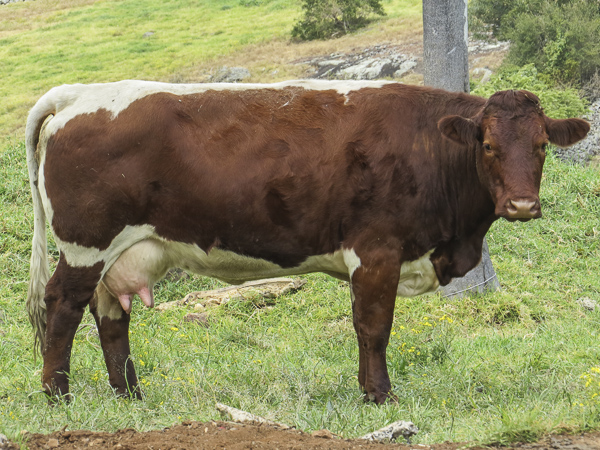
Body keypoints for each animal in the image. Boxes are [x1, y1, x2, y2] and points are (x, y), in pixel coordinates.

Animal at [25, 80, 588, 404]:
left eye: (541, 145)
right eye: (488, 146)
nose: (521, 205)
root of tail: (79, 93)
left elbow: (365, 328)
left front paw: (368, 390)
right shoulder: (376, 250)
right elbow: (373, 328)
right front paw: (380, 396)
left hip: (114, 254)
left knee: (110, 316)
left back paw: (130, 395)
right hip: (85, 244)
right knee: (62, 307)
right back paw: (57, 395)